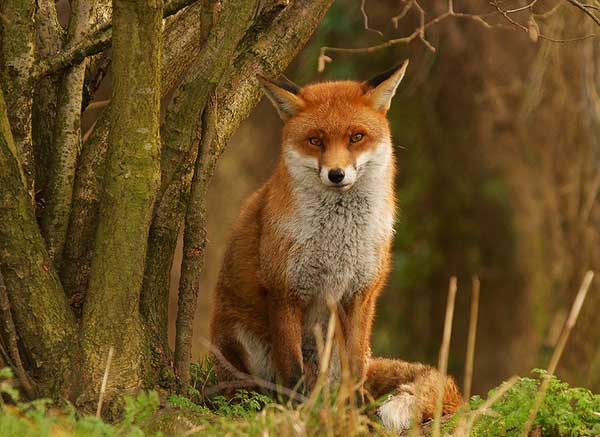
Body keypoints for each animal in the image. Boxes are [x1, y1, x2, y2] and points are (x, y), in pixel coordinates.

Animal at [209, 60, 462, 430]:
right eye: (315, 141)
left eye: (356, 137)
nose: (336, 174)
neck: (338, 238)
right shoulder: (284, 292)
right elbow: (292, 372)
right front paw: (295, 415)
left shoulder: (360, 294)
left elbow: (355, 374)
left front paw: (354, 418)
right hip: (242, 342)